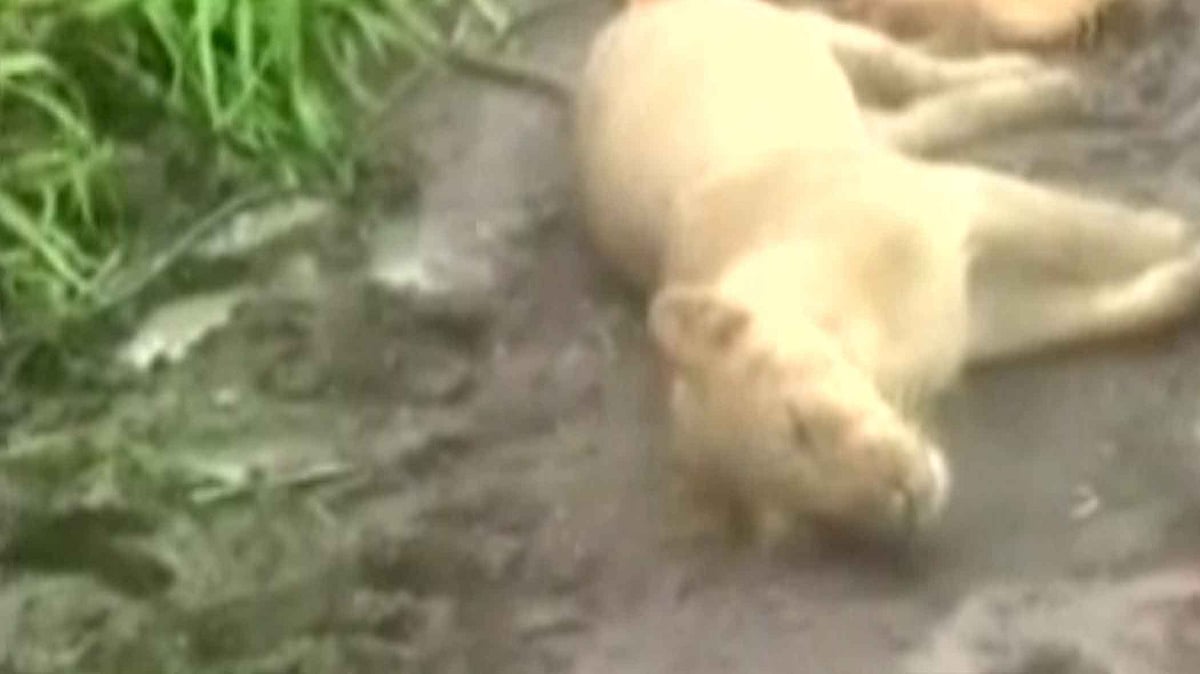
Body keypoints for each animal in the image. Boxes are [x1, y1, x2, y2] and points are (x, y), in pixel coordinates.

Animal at [574, 0, 1200, 549]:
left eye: (800, 424)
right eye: (807, 521)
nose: (904, 503)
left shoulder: (963, 202)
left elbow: (1103, 234)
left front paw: (1176, 234)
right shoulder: (987, 316)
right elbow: (1114, 311)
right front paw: (1182, 284)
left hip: (818, 33)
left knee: (918, 70)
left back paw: (1047, 81)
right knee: (912, 118)